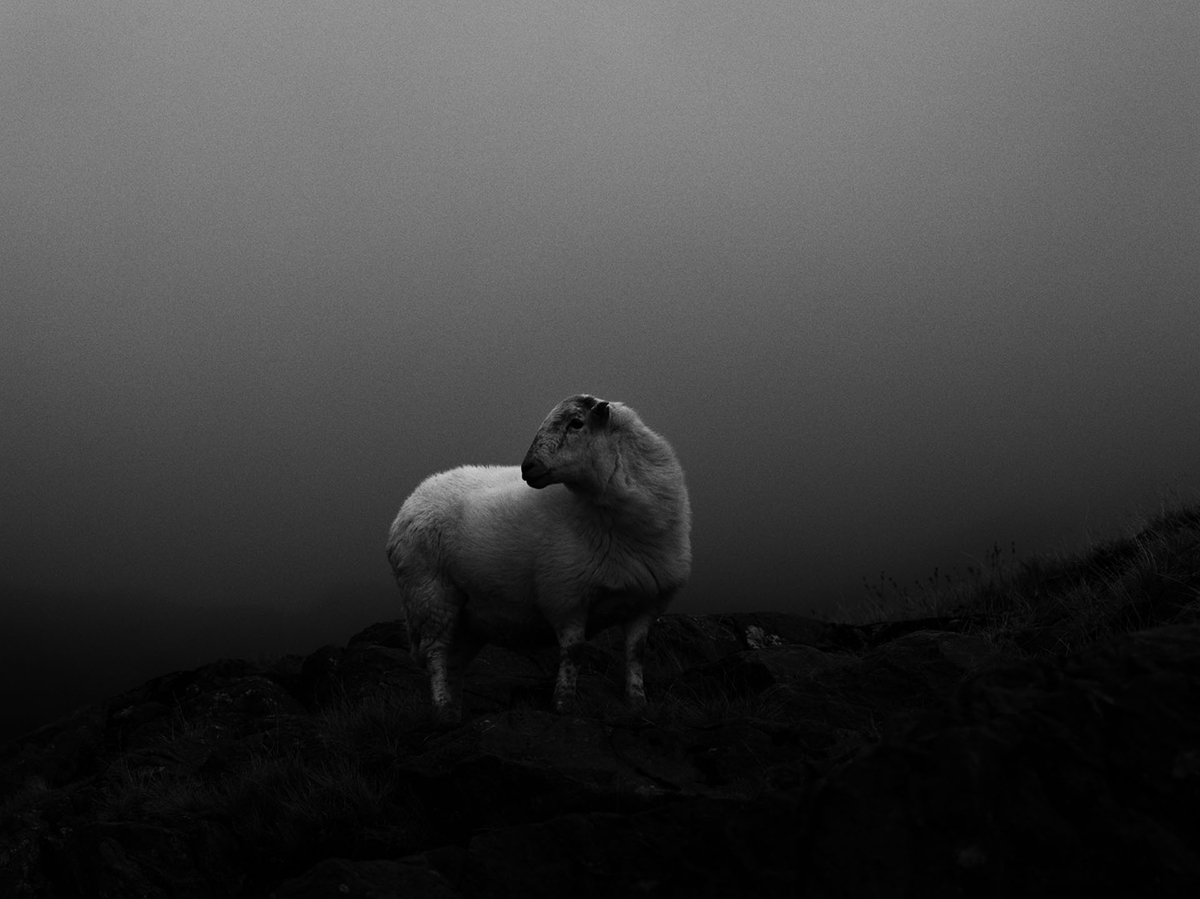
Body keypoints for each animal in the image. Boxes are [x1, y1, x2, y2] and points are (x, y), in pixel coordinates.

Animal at [385, 394, 691, 724]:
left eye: (576, 423)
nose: (527, 468)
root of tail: (413, 498)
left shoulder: (646, 601)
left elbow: (636, 653)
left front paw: (638, 704)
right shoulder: (566, 594)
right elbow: (574, 652)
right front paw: (564, 706)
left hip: (468, 617)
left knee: (455, 662)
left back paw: (455, 712)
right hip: (430, 595)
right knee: (436, 654)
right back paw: (442, 711)